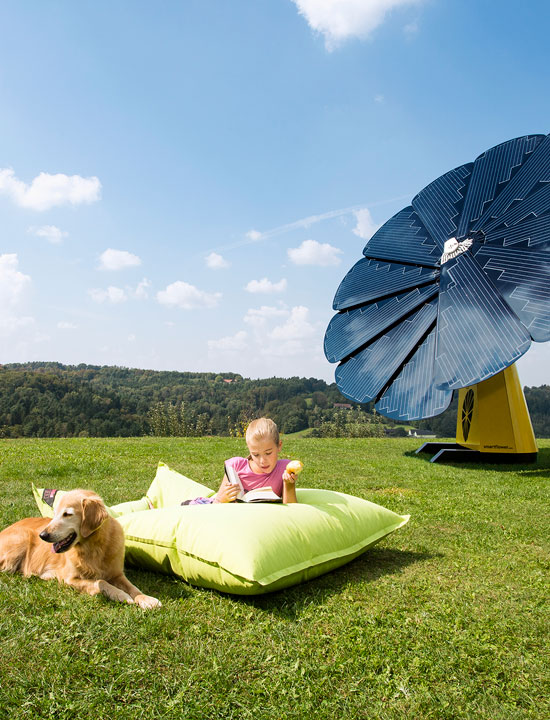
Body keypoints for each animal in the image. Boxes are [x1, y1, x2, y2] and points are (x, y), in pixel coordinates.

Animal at [0, 490, 163, 608]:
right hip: (21, 538)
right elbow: (100, 582)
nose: (42, 535)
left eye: (67, 514)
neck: (92, 547)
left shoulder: (117, 574)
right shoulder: (69, 579)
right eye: (54, 514)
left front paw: (147, 599)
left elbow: (133, 588)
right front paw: (121, 595)